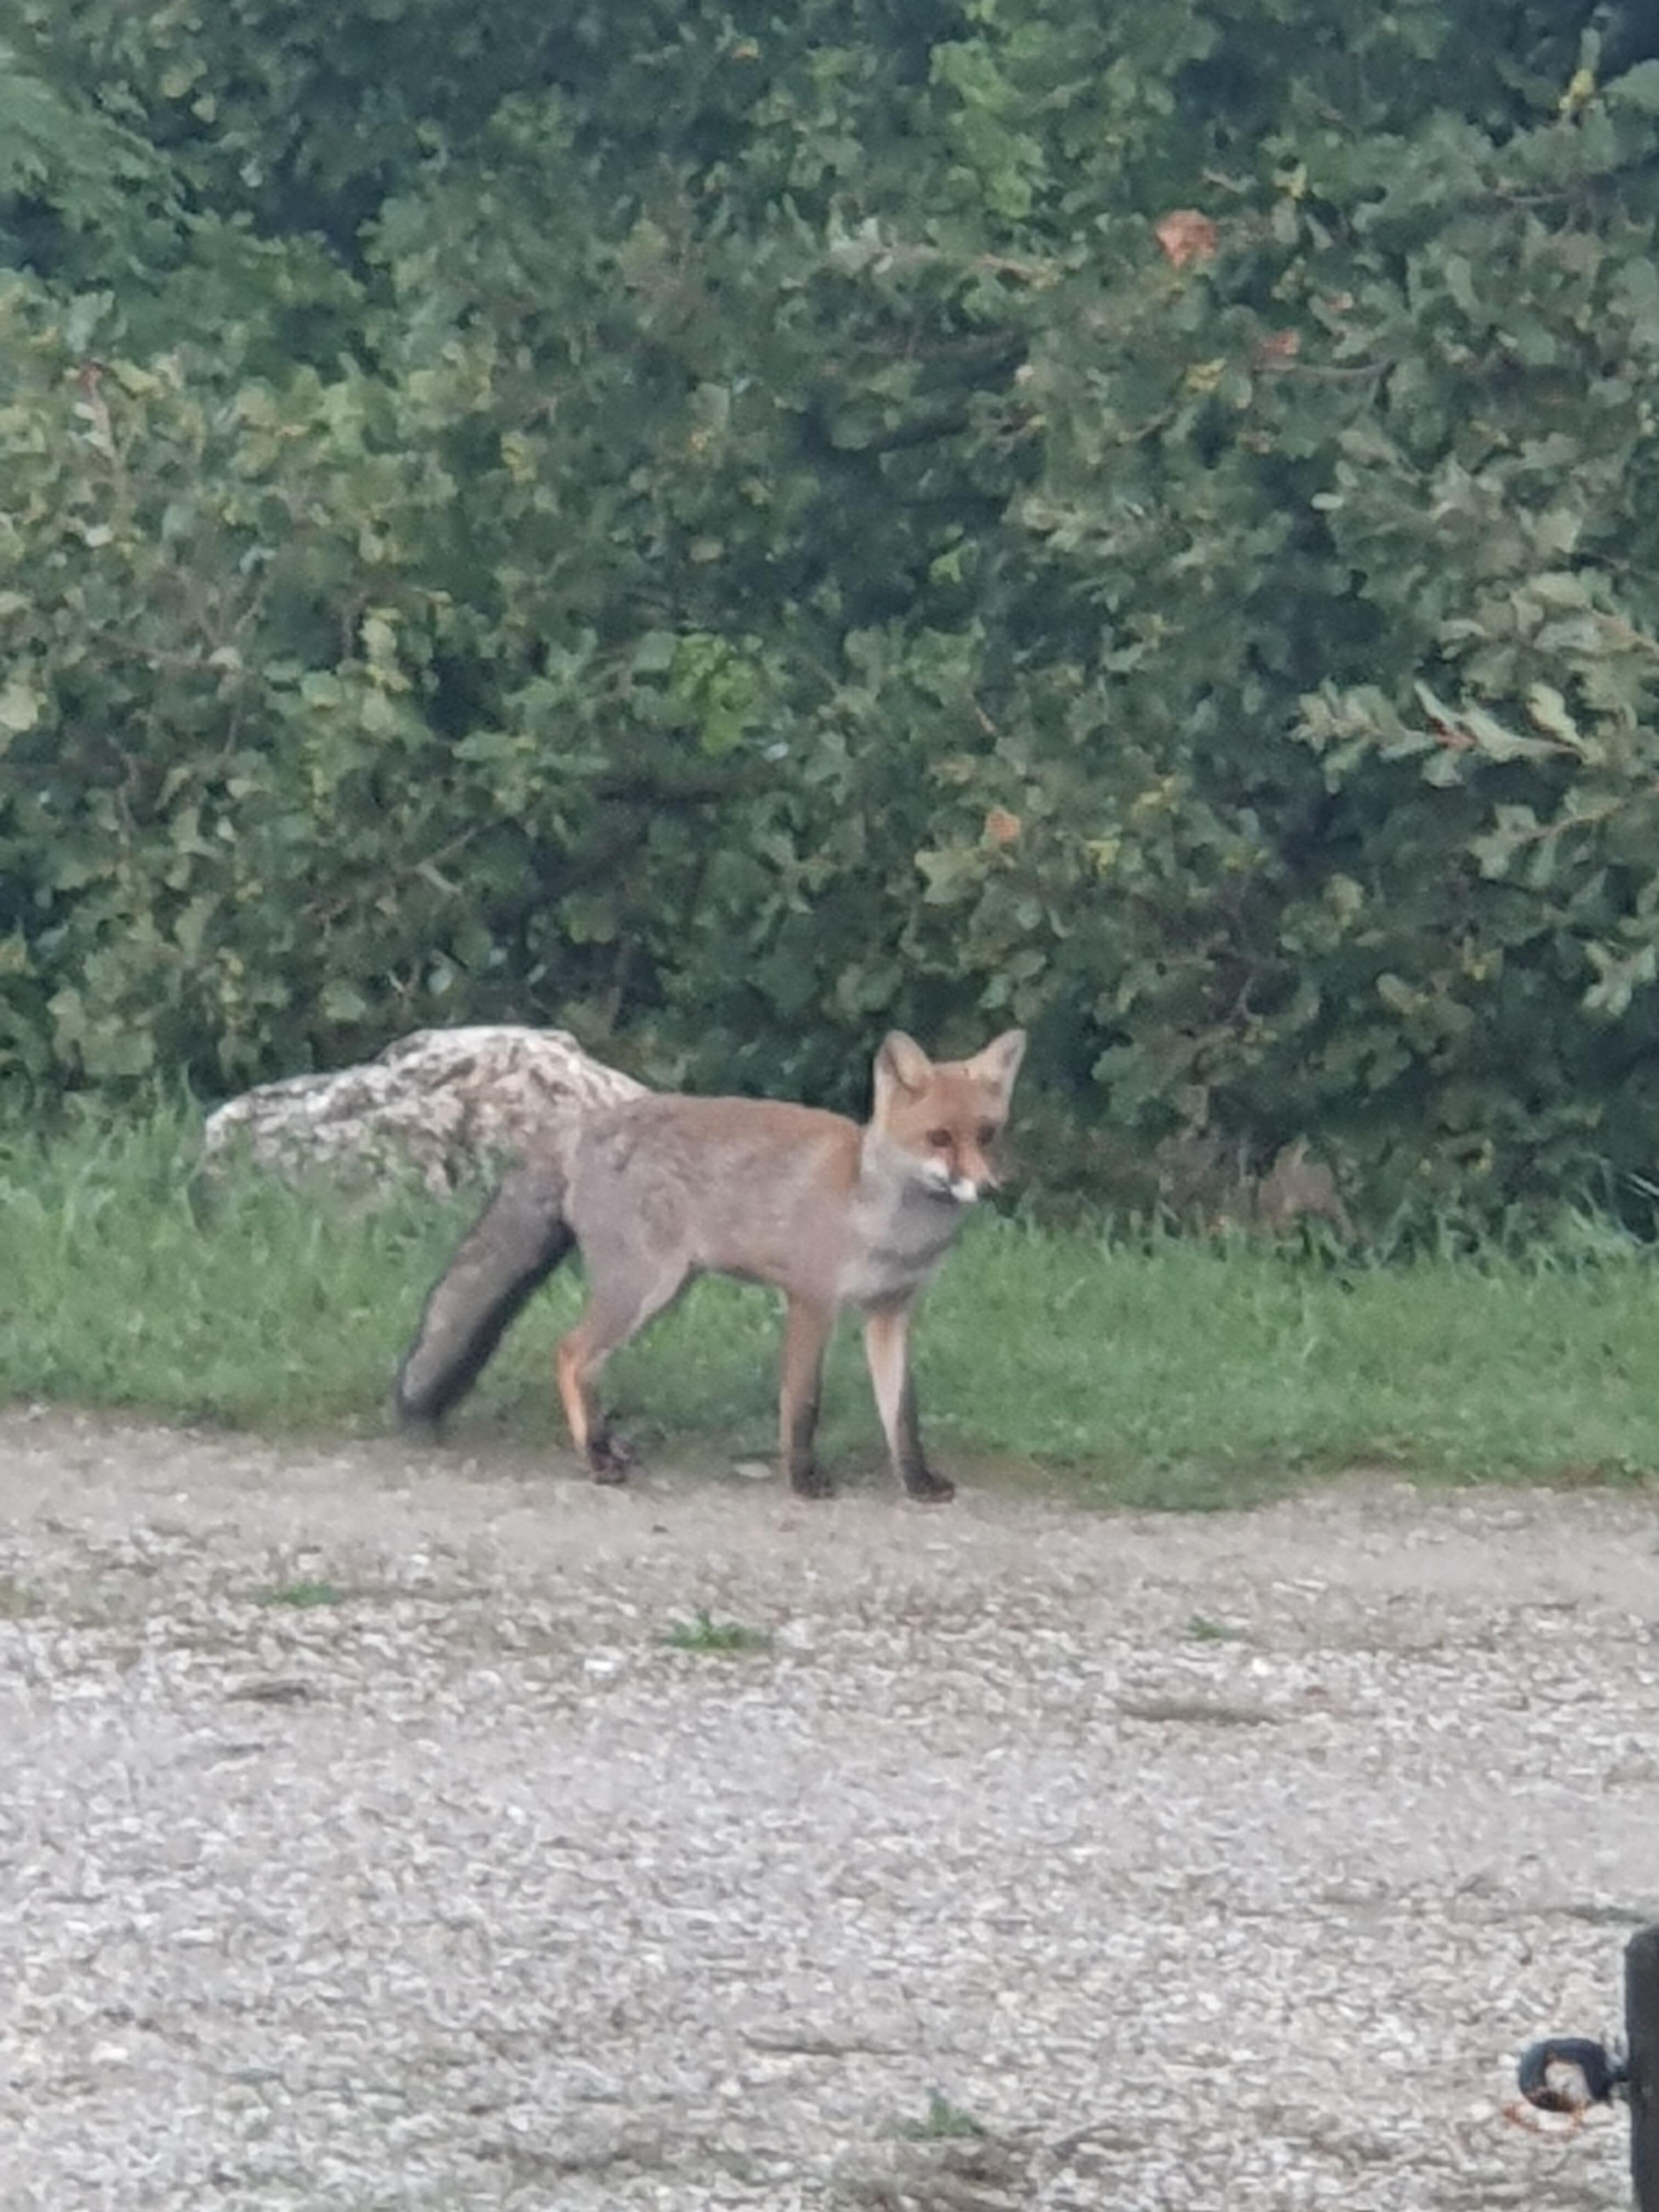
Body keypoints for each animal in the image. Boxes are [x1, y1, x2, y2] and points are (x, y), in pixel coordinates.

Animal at [394, 1028, 1026, 1502]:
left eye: (986, 1135)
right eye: (939, 1138)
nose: (987, 1188)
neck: (888, 1224)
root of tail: (581, 1127)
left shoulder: (891, 1313)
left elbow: (901, 1416)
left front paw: (918, 1482)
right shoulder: (811, 1302)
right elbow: (803, 1403)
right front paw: (804, 1478)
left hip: (663, 1294)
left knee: (589, 1365)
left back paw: (606, 1444)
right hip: (643, 1291)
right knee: (570, 1353)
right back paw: (595, 1459)